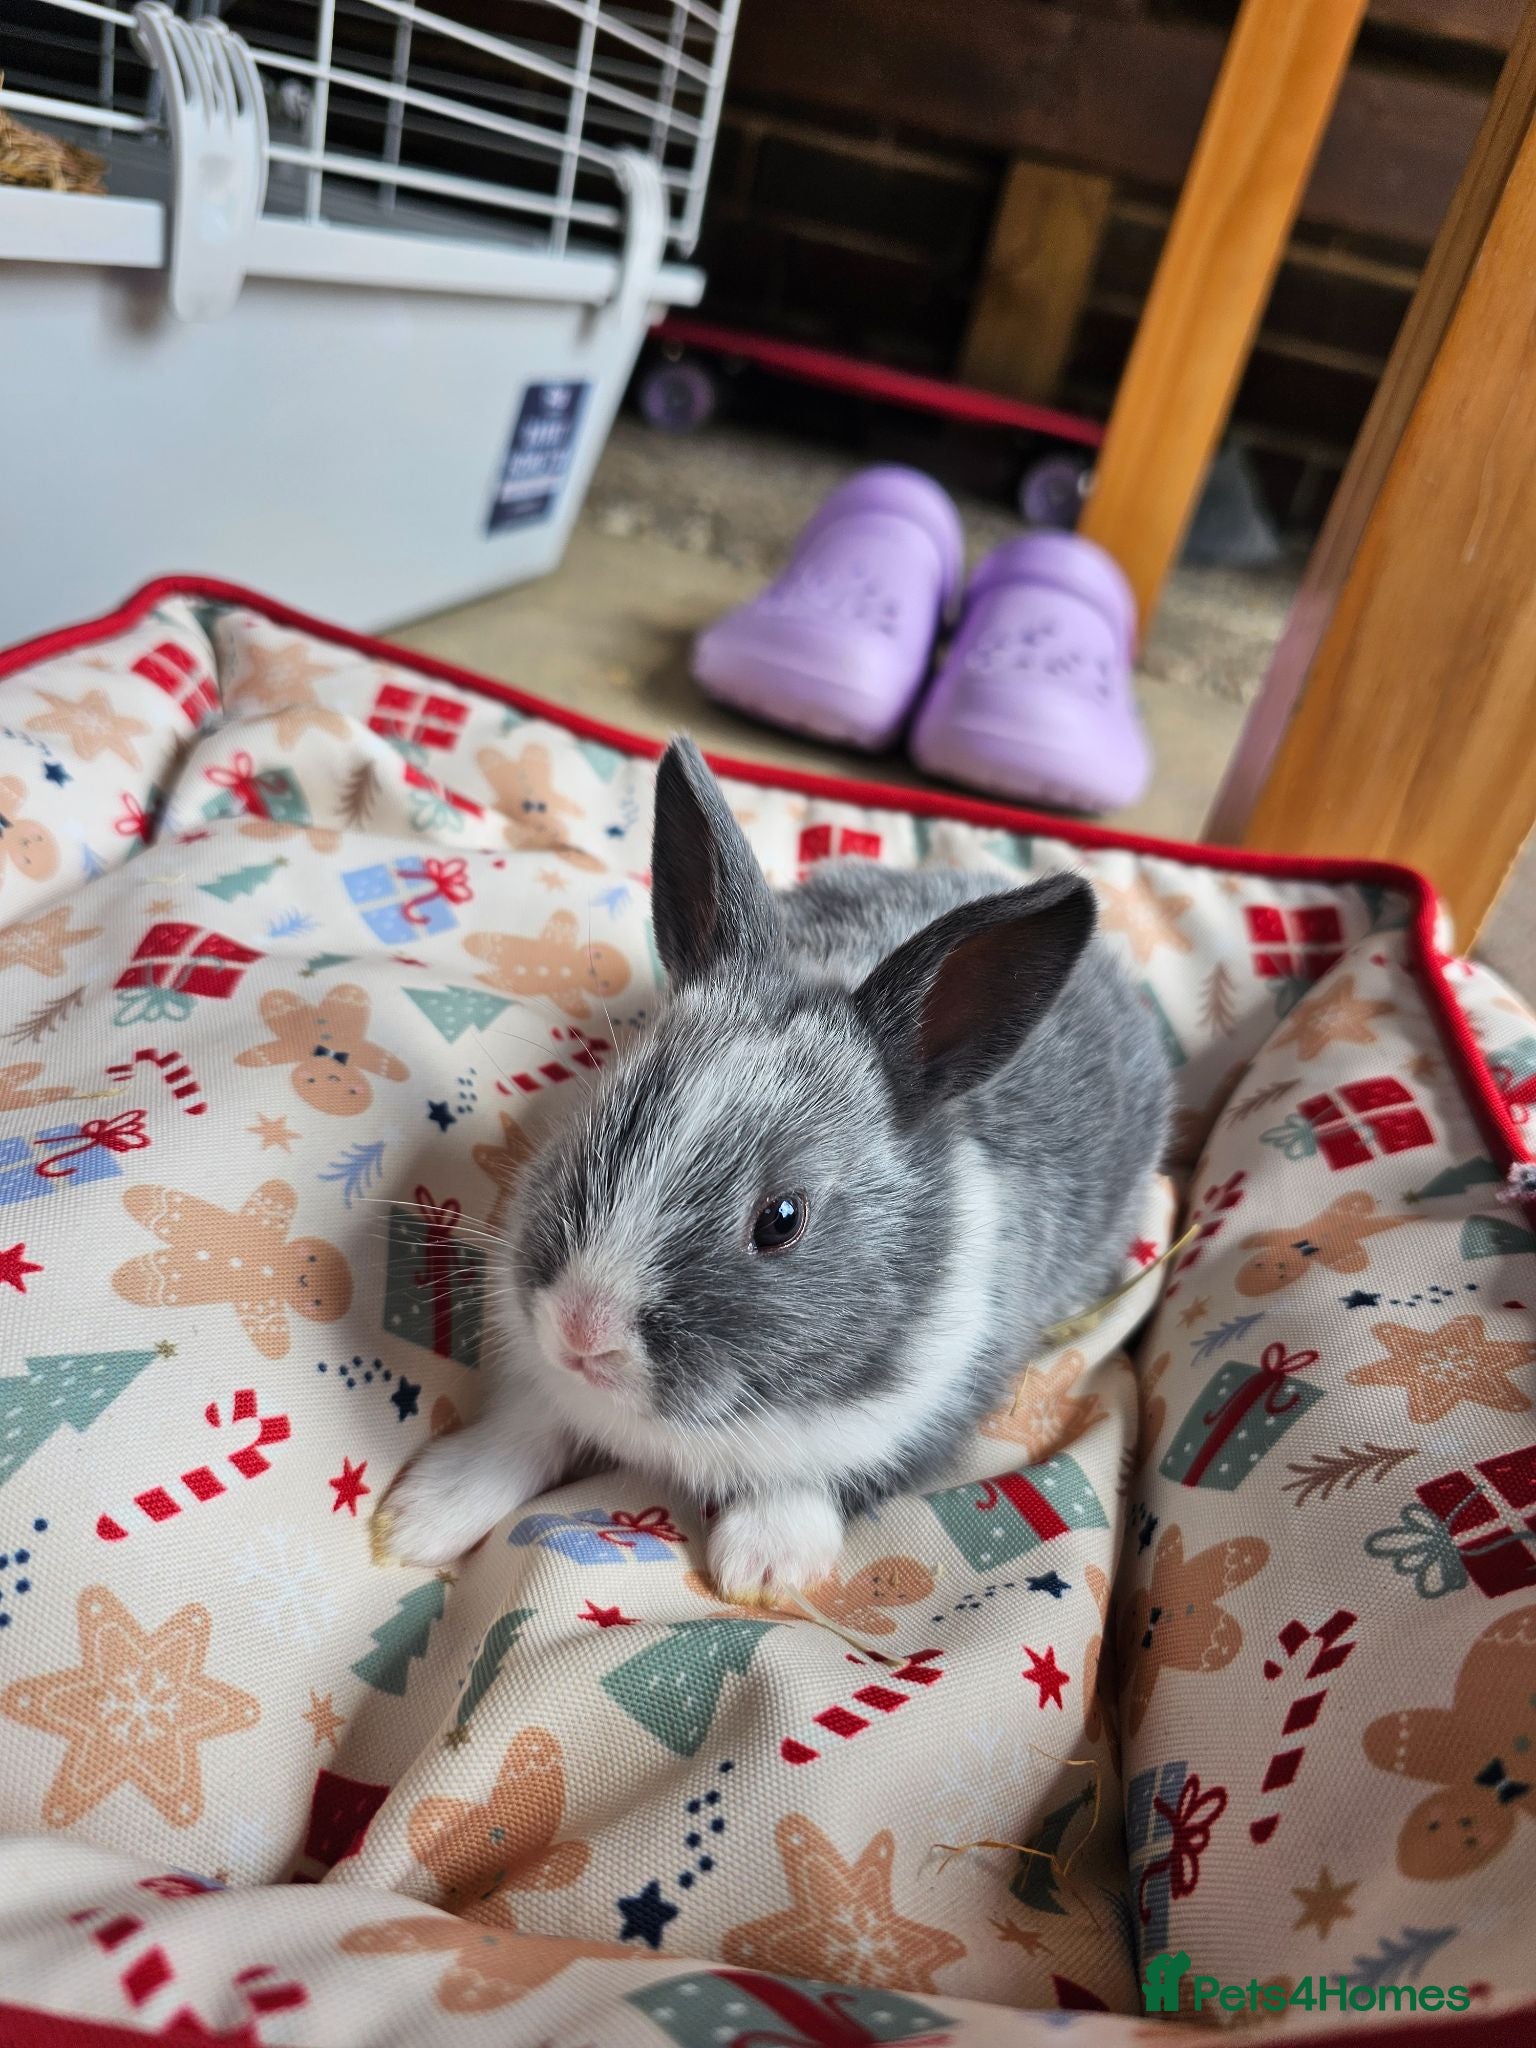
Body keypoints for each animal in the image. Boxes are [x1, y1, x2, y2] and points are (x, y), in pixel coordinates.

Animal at [377, 738, 1171, 1598]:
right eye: (602, 1119)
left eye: (782, 1220)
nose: (583, 1331)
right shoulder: (543, 1393)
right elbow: (518, 1435)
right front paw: (419, 1518)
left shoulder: (912, 1420)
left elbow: (811, 1484)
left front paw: (764, 1567)